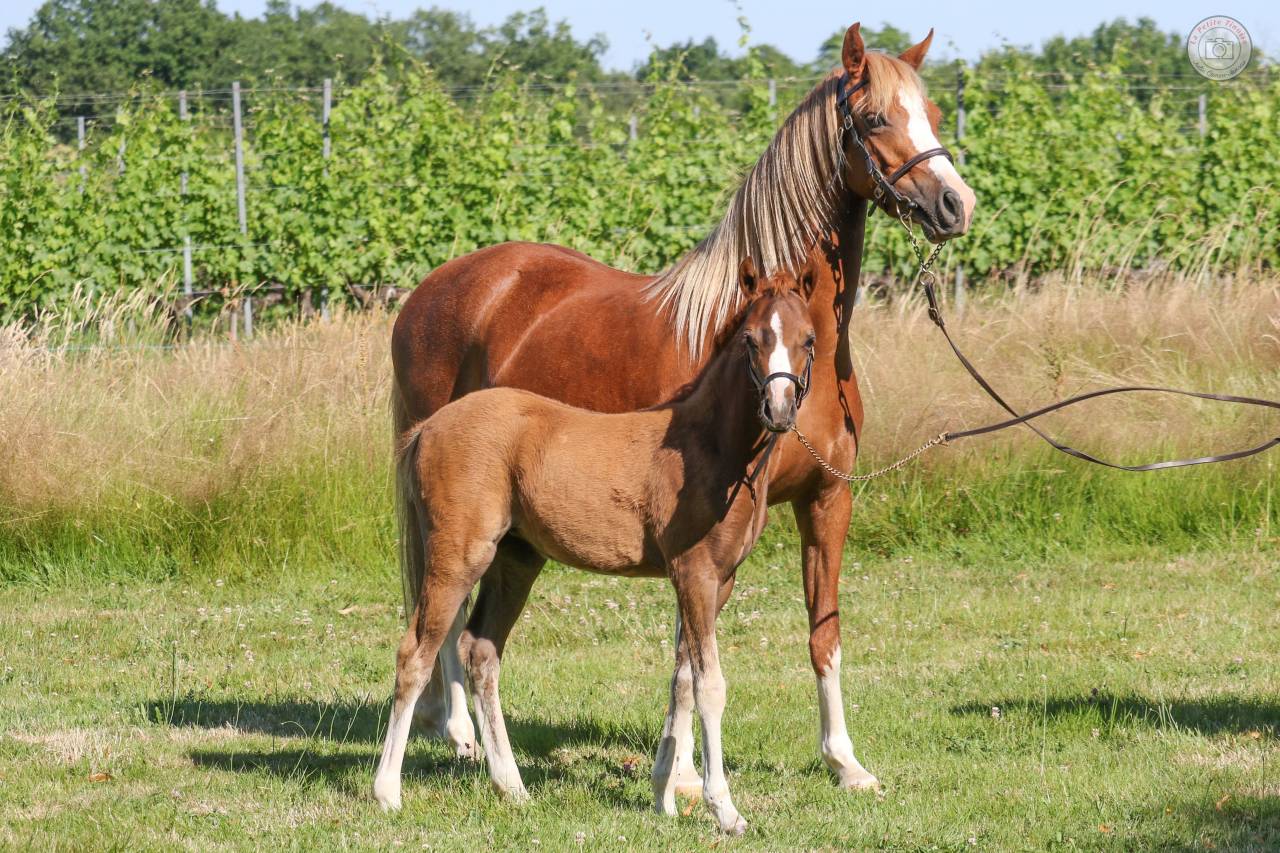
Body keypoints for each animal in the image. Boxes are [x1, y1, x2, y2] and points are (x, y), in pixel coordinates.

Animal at [375, 261, 816, 835]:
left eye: (809, 339)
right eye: (751, 339)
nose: (778, 410)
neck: (709, 446)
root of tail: (428, 428)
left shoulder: (719, 580)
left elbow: (682, 680)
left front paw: (664, 796)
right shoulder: (694, 574)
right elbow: (710, 685)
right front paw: (724, 809)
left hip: (516, 561)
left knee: (481, 651)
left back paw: (513, 788)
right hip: (458, 554)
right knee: (416, 653)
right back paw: (387, 792)